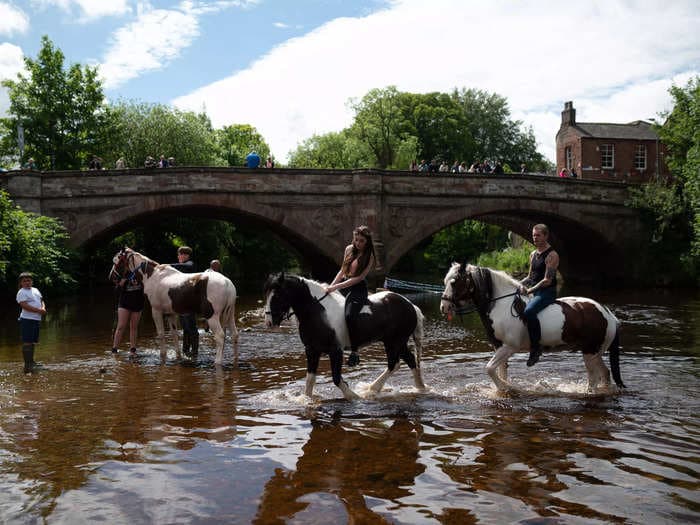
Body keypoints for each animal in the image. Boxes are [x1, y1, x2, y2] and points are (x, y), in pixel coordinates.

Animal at [109, 247, 239, 364]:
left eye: (116, 261)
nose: (111, 277)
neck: (153, 276)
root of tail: (227, 283)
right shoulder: (170, 314)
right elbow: (175, 335)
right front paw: (178, 356)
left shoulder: (156, 311)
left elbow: (161, 334)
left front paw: (163, 356)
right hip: (230, 314)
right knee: (234, 335)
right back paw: (235, 359)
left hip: (212, 316)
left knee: (220, 336)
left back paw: (217, 362)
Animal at [262, 272, 426, 400]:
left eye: (277, 295)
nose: (269, 322)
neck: (317, 312)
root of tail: (410, 304)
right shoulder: (312, 350)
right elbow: (310, 379)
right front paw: (306, 399)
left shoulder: (335, 351)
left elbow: (336, 378)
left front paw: (353, 396)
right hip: (395, 341)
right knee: (408, 361)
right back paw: (418, 388)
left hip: (395, 341)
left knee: (394, 363)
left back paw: (371, 389)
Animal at [440, 262, 628, 392]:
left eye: (454, 282)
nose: (444, 307)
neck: (500, 305)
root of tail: (608, 314)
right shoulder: (499, 347)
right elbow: (500, 371)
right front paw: (503, 389)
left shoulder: (509, 348)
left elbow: (489, 369)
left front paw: (506, 387)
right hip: (596, 352)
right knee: (605, 374)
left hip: (589, 352)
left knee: (593, 378)